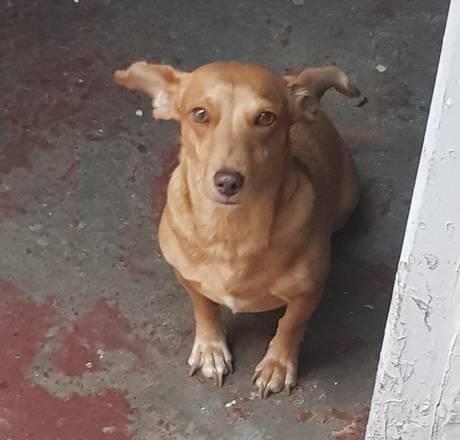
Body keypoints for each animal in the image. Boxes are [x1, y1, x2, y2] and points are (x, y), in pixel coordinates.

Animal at [115, 61, 360, 398]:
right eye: (199, 114)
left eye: (265, 117)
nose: (228, 181)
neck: (230, 231)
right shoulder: (187, 277)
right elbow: (205, 308)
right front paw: (210, 349)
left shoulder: (308, 293)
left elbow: (290, 325)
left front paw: (277, 364)